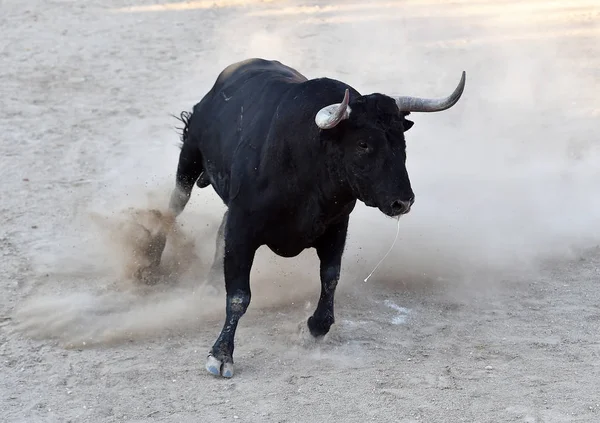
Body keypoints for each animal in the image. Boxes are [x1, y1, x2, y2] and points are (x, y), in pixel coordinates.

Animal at [149, 58, 464, 380]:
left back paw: (210, 281)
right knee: (174, 206)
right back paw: (151, 261)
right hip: (189, 158)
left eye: (401, 140)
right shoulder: (243, 228)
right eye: (363, 144)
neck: (306, 161)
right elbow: (239, 295)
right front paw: (221, 354)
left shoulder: (337, 226)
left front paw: (315, 327)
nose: (403, 201)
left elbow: (330, 277)